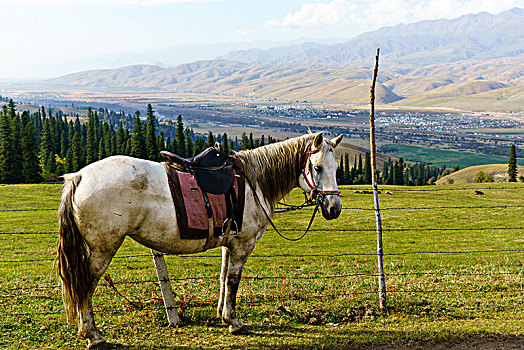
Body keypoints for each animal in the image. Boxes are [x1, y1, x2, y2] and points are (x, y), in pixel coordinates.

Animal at [57, 133, 344, 348]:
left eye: (336, 168)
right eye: (317, 167)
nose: (334, 209)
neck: (254, 183)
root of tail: (79, 177)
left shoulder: (230, 243)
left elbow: (223, 278)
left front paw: (223, 316)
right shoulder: (243, 244)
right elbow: (233, 281)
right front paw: (234, 322)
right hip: (101, 249)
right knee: (85, 286)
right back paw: (93, 336)